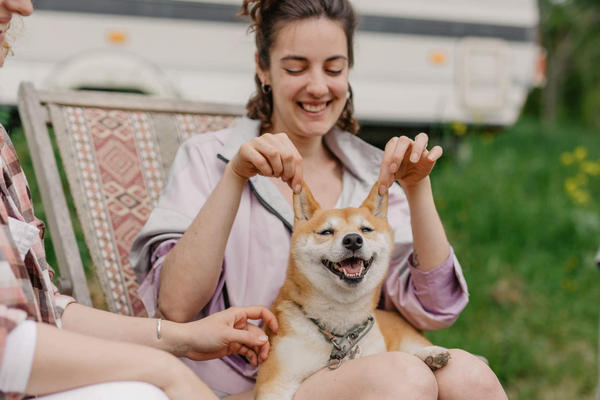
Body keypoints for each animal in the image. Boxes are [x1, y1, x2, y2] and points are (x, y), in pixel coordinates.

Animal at [254, 183, 450, 398]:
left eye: (365, 229)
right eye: (326, 232)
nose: (354, 240)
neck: (340, 334)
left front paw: (427, 355)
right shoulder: (275, 381)